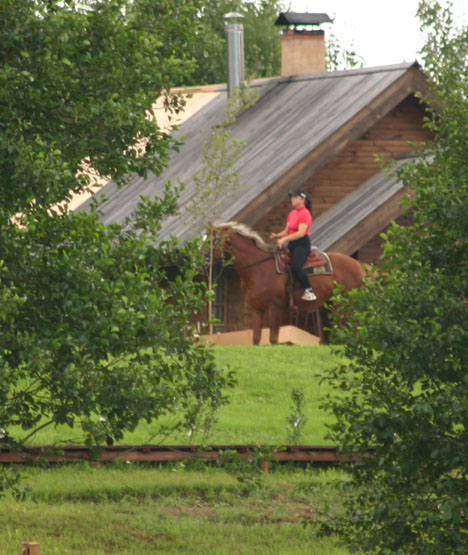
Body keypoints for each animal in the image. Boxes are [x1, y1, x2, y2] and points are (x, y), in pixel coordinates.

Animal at [214, 220, 368, 344]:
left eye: (214, 240)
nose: (208, 259)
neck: (259, 268)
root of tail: (360, 266)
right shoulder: (257, 308)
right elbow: (256, 338)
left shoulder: (275, 307)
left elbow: (273, 339)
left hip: (344, 307)